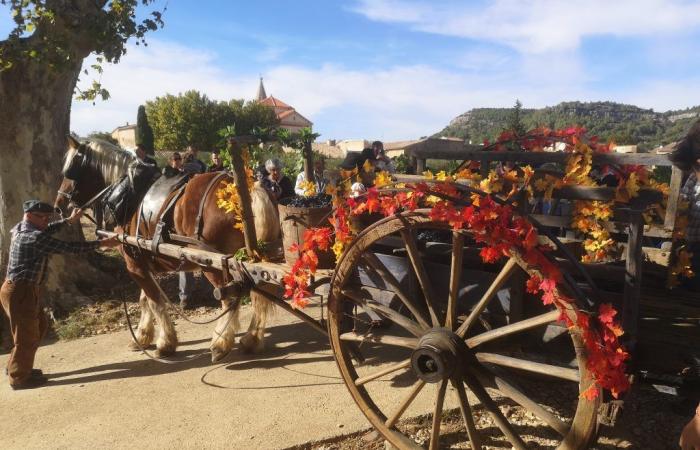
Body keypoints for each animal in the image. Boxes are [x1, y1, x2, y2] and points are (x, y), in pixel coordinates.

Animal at [54, 137, 280, 362]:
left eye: (71, 169)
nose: (58, 204)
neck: (129, 194)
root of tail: (248, 188)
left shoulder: (133, 263)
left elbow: (154, 301)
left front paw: (165, 343)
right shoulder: (143, 263)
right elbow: (144, 300)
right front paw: (143, 336)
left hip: (214, 263)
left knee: (230, 299)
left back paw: (221, 342)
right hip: (255, 260)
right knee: (259, 294)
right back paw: (252, 339)